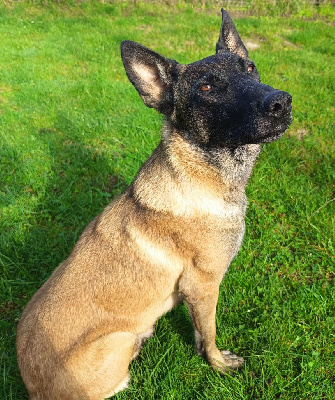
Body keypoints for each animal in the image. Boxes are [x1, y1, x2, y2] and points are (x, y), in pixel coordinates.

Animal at [17, 9, 292, 400]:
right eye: (206, 88)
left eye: (251, 68)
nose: (282, 102)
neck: (201, 172)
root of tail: (34, 389)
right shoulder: (204, 285)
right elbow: (209, 332)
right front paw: (219, 364)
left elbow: (199, 330)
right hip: (118, 341)